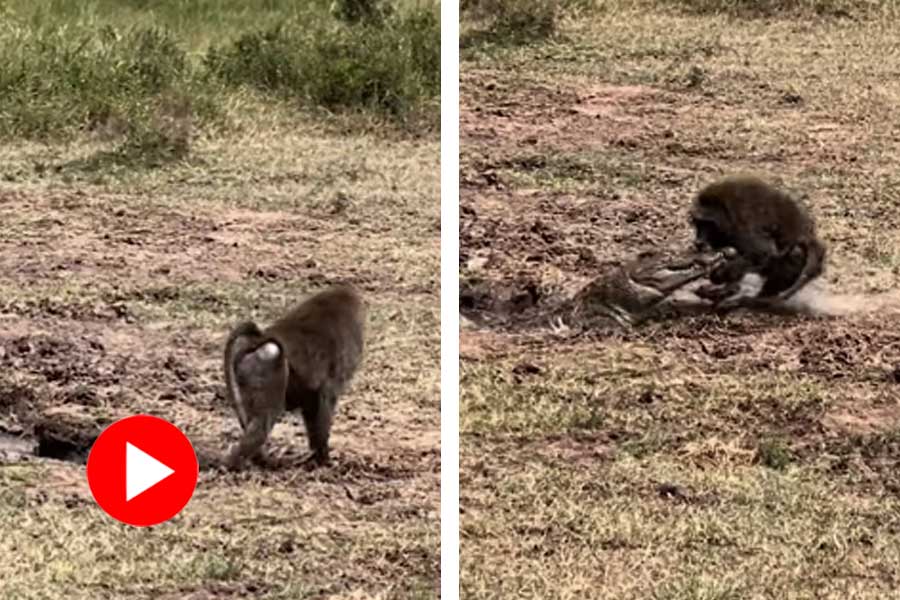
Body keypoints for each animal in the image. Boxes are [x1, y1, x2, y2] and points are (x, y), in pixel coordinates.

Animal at [223, 285, 365, 471]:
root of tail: (261, 338)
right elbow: (325, 402)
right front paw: (324, 460)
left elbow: (311, 405)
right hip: (269, 361)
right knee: (264, 421)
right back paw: (235, 464)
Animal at [689, 175, 826, 310]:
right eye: (699, 223)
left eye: (708, 224)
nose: (699, 240)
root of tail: (808, 232)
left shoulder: (743, 226)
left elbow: (761, 253)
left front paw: (720, 274)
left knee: (795, 252)